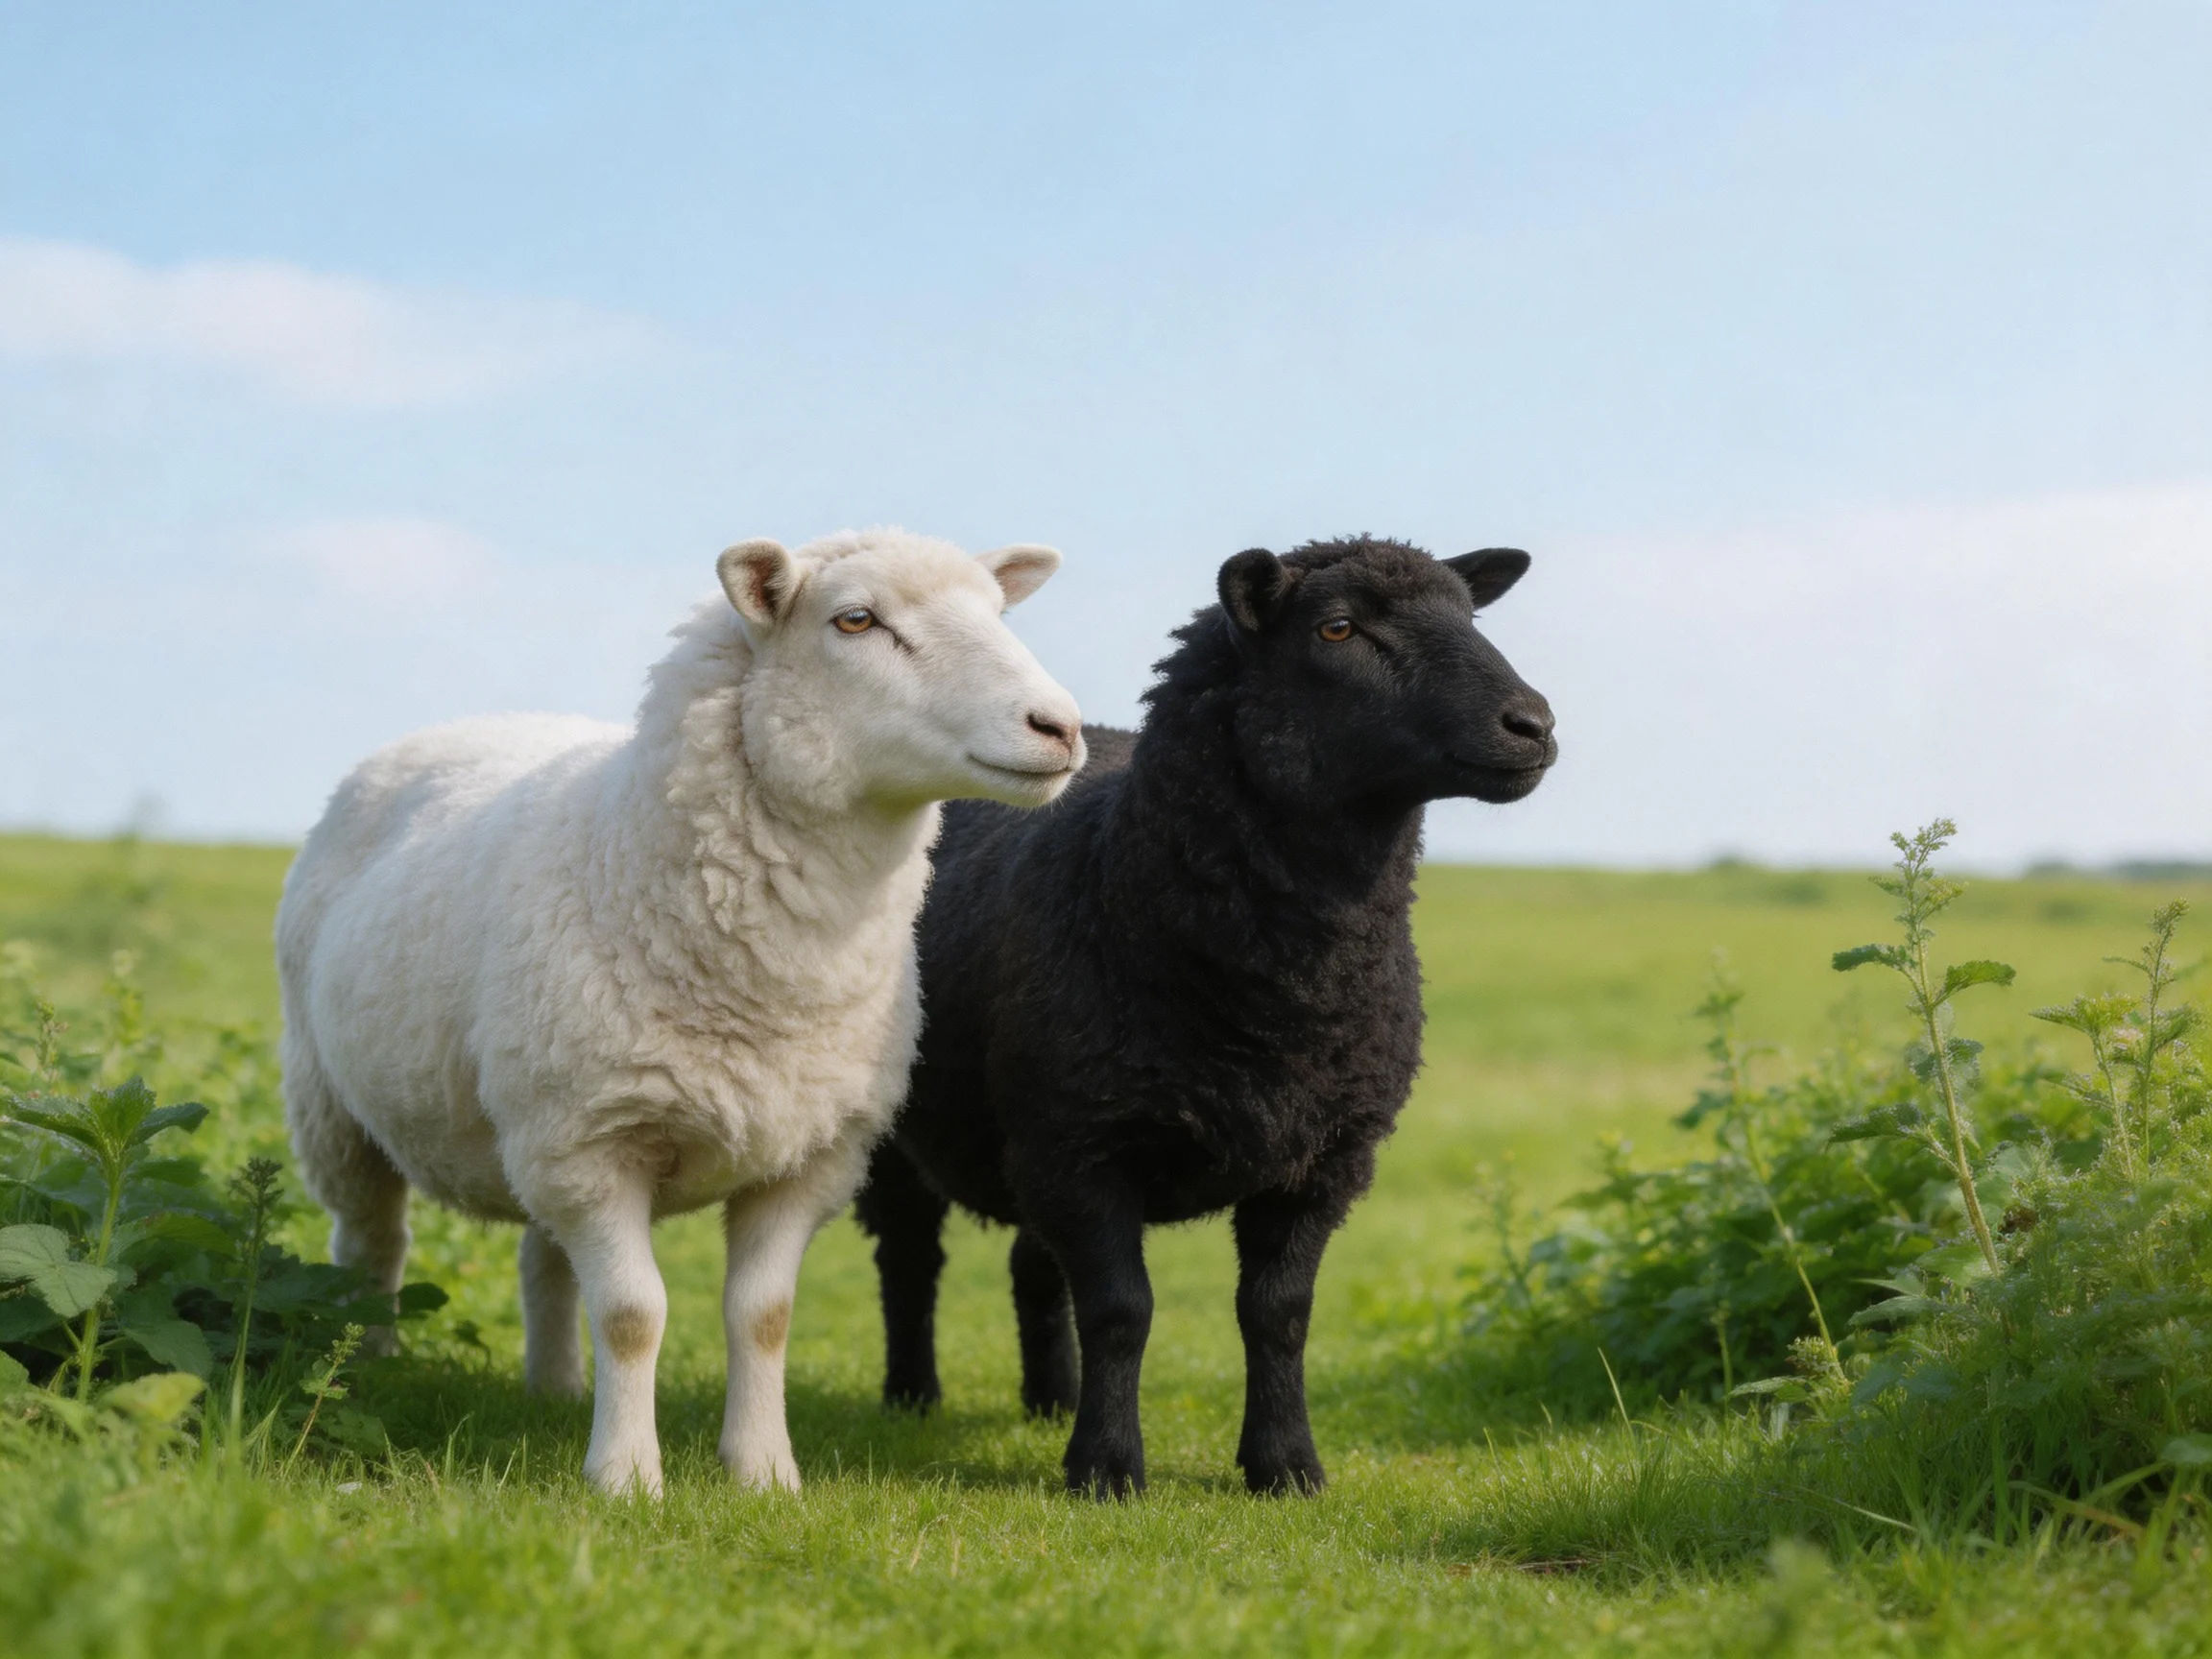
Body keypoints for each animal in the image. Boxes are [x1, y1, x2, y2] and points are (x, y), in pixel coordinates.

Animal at [277, 527, 1085, 1496]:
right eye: (856, 620)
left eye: (999, 613)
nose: (1061, 728)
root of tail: (467, 723)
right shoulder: (594, 1143)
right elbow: (634, 1314)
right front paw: (626, 1479)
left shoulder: (808, 1156)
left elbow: (764, 1315)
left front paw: (764, 1472)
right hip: (336, 1108)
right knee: (371, 1248)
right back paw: (369, 1366)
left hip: (531, 1118)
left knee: (541, 1258)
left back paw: (555, 1391)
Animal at [854, 535, 1555, 1497]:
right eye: (1339, 628)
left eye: (1471, 615)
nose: (1534, 725)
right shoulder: (1085, 1146)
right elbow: (1121, 1310)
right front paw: (1108, 1470)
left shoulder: (1324, 1158)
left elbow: (1279, 1314)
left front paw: (1285, 1465)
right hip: (922, 1125)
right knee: (910, 1259)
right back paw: (912, 1396)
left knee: (1032, 1264)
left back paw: (1050, 1400)